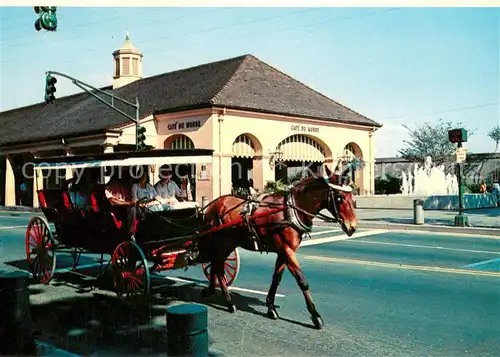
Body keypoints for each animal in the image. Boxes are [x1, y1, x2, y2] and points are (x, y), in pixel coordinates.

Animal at [199, 164, 356, 328]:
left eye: (352, 196)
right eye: (339, 197)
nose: (352, 226)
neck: (290, 211)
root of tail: (212, 206)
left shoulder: (283, 251)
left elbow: (276, 278)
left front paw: (271, 308)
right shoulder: (287, 250)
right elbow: (302, 281)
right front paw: (315, 315)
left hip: (228, 244)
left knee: (216, 266)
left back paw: (212, 290)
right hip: (220, 243)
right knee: (218, 269)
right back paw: (228, 302)